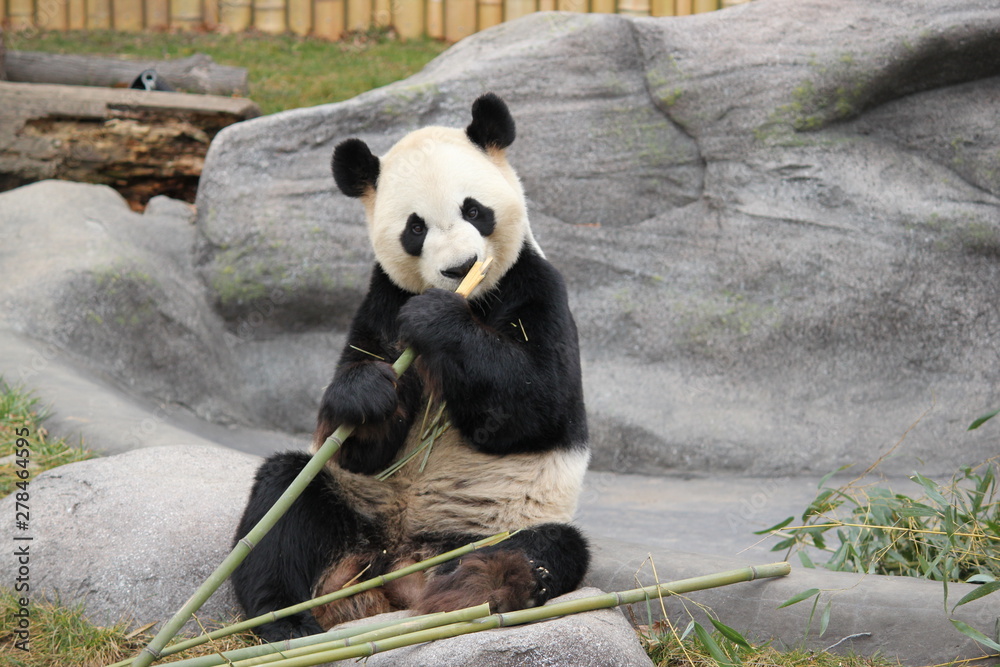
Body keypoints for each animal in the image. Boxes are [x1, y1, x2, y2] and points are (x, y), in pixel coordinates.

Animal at [232, 93, 591, 642]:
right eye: (415, 227)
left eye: (474, 209)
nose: (460, 268)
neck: (475, 300)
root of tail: (396, 571)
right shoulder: (381, 300)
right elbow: (361, 443)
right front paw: (366, 393)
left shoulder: (536, 287)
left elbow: (537, 405)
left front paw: (435, 321)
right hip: (353, 506)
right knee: (283, 501)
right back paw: (285, 620)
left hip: (488, 526)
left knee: (547, 548)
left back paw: (476, 590)